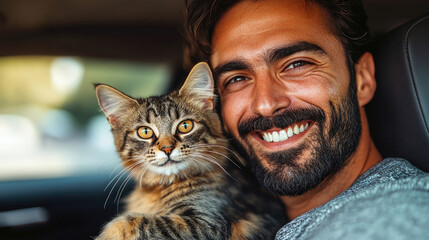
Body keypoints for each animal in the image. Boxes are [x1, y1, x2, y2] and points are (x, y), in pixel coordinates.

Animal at [95, 62, 286, 239]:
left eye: (185, 126)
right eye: (145, 132)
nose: (167, 148)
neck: (158, 190)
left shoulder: (208, 223)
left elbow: (134, 222)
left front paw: (107, 234)